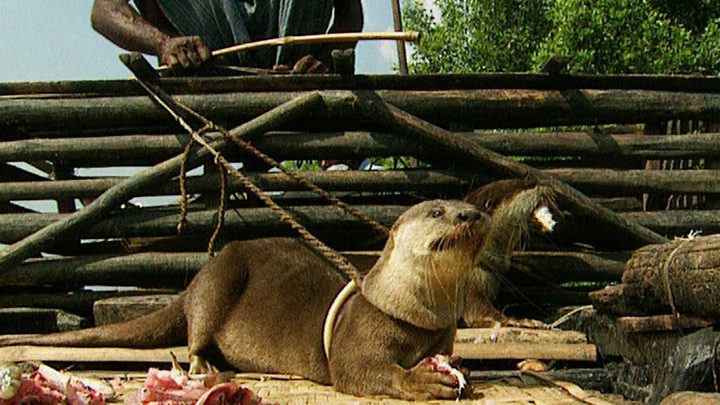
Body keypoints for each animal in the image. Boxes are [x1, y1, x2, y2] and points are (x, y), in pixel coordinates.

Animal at [0, 200, 487, 401]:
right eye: (438, 211)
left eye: (468, 205)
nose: (472, 214)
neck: (410, 314)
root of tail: (192, 284)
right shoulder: (361, 329)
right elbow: (359, 369)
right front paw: (424, 380)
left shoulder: (441, 334)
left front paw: (458, 371)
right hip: (220, 281)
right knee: (196, 332)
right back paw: (205, 367)